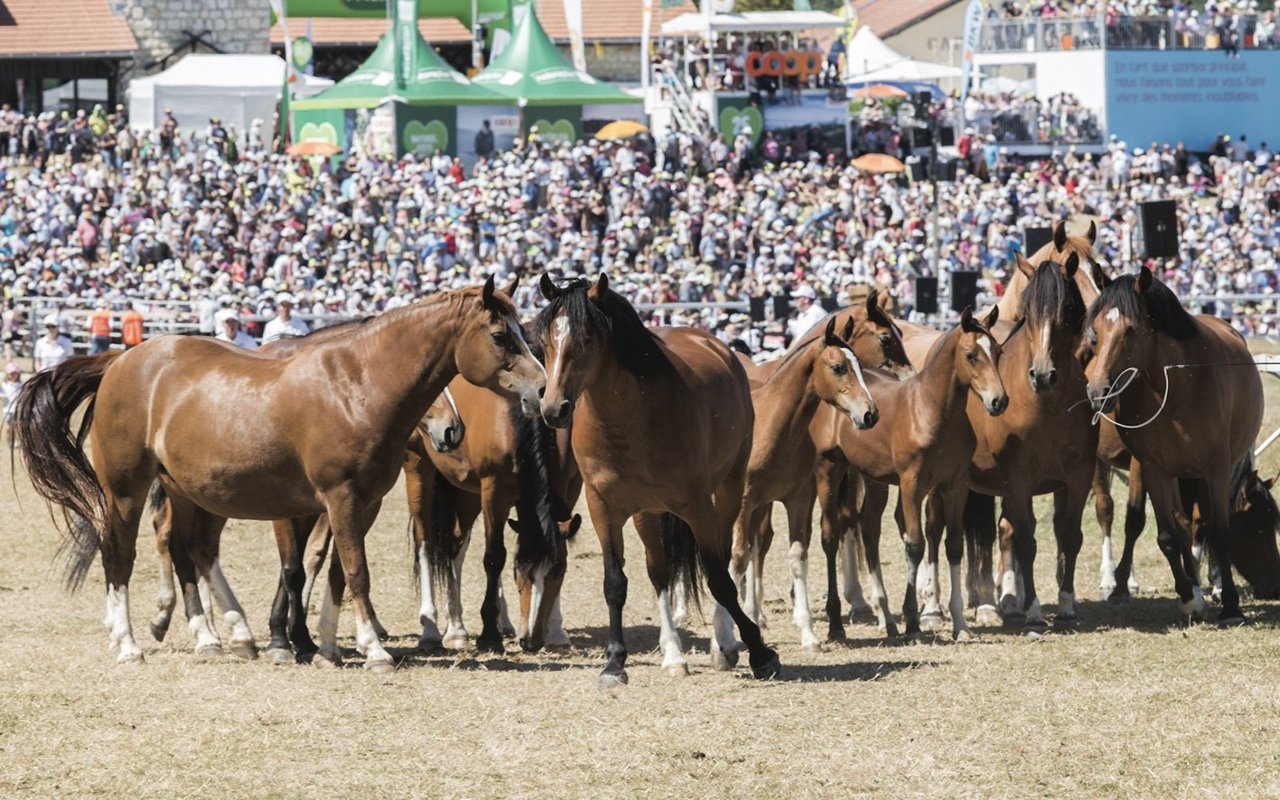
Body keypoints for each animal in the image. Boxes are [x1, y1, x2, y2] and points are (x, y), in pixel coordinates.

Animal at [15, 279, 545, 665]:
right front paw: (367, 648)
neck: (356, 385)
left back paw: (215, 635)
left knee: (188, 549)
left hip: (187, 490)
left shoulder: (361, 503)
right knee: (120, 556)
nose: (542, 387)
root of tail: (121, 359)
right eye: (501, 336)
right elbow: (348, 570)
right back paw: (129, 645)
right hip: (125, 489)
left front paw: (326, 644)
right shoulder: (336, 497)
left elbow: (334, 571)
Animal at [532, 273, 778, 686]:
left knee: (728, 560)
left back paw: (724, 643)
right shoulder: (602, 507)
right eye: (545, 341)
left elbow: (719, 579)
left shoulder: (696, 505)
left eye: (587, 339)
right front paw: (615, 662)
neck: (631, 420)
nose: (554, 409)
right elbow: (615, 583)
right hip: (647, 512)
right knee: (659, 571)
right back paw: (673, 653)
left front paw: (759, 652)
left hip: (726, 490)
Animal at [808, 308, 1008, 640]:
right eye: (970, 355)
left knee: (869, 528)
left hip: (873, 479)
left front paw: (960, 624)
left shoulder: (955, 487)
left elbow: (954, 545)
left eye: (998, 352)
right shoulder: (912, 484)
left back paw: (886, 618)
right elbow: (915, 545)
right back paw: (837, 624)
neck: (931, 411)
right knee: (830, 535)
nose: (999, 401)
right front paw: (914, 620)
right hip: (829, 471)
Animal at [1085, 264, 1264, 622]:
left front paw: (1230, 604)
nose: (1098, 392)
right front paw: (1189, 598)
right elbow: (1166, 535)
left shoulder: (1216, 468)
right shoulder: (1153, 468)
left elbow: (1218, 532)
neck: (1178, 386)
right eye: (1094, 330)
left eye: (1131, 330)